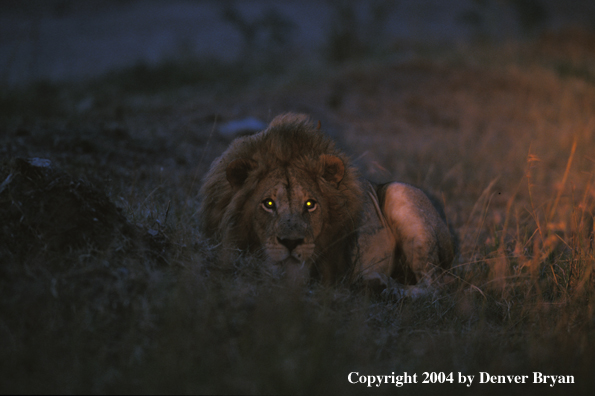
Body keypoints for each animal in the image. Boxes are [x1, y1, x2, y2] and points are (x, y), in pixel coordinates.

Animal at [200, 113, 456, 296]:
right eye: (268, 203)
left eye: (310, 204)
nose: (291, 243)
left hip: (399, 192)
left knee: (437, 284)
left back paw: (383, 287)